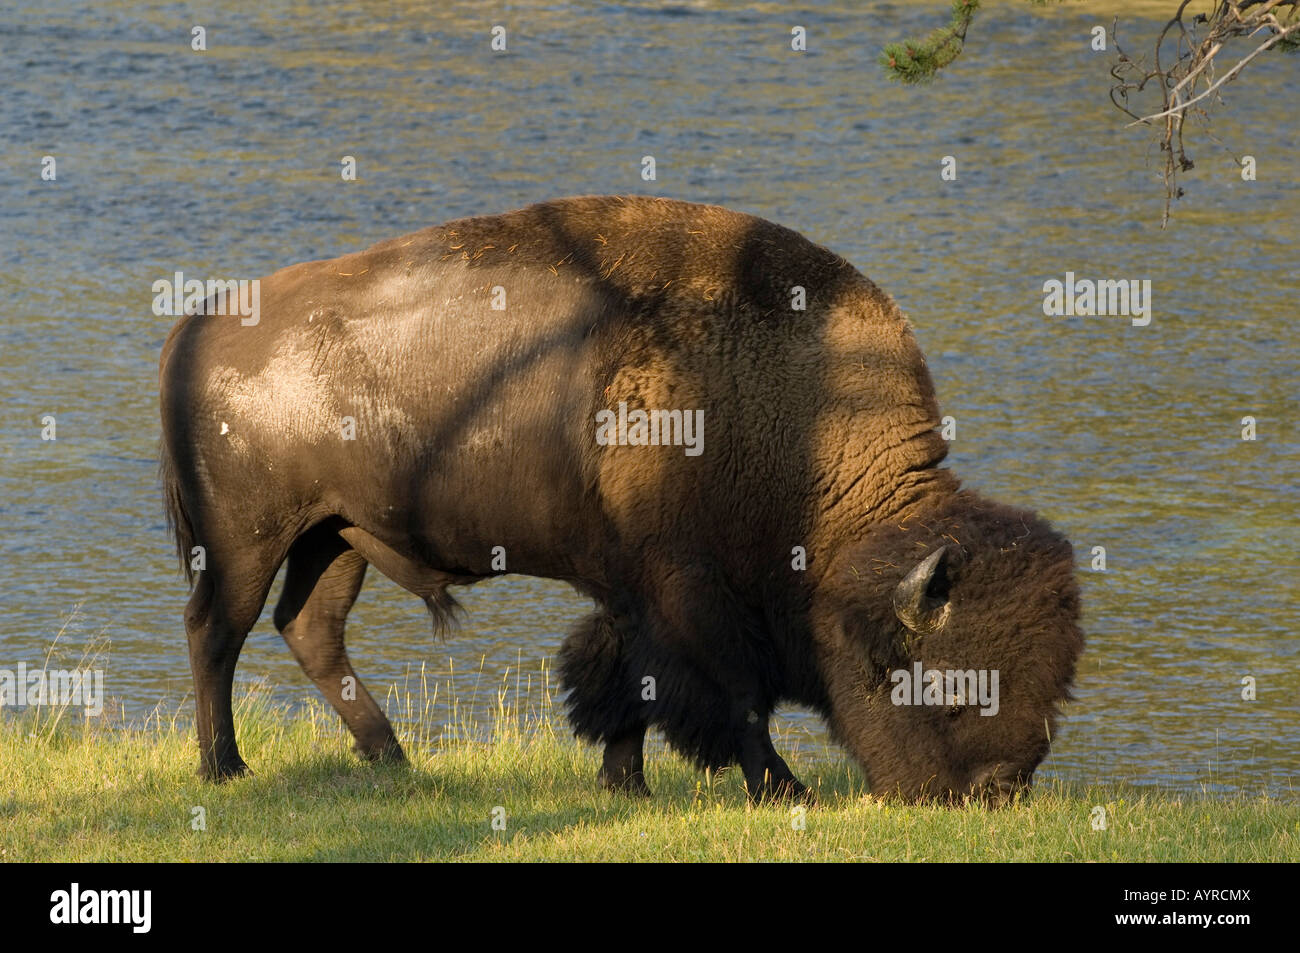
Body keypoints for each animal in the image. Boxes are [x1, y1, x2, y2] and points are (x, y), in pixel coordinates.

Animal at [157, 193, 1081, 800]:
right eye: (944, 684)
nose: (998, 789)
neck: (805, 421)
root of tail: (199, 321)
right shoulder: (686, 589)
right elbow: (729, 692)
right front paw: (783, 788)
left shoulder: (633, 589)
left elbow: (626, 680)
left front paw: (624, 782)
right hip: (247, 539)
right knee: (217, 632)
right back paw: (225, 766)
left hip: (336, 534)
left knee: (308, 628)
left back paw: (393, 758)